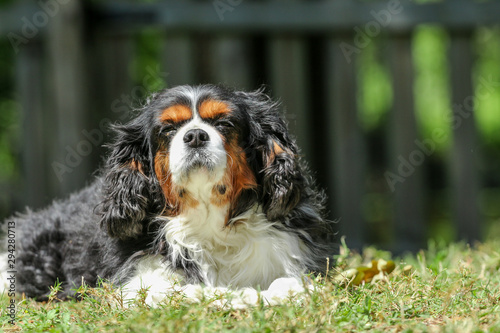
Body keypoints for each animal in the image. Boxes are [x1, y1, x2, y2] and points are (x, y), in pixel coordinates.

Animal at [3, 84, 334, 304]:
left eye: (224, 123)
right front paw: (241, 297)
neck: (208, 218)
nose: (195, 135)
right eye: (168, 129)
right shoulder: (138, 283)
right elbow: (192, 291)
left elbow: (286, 281)